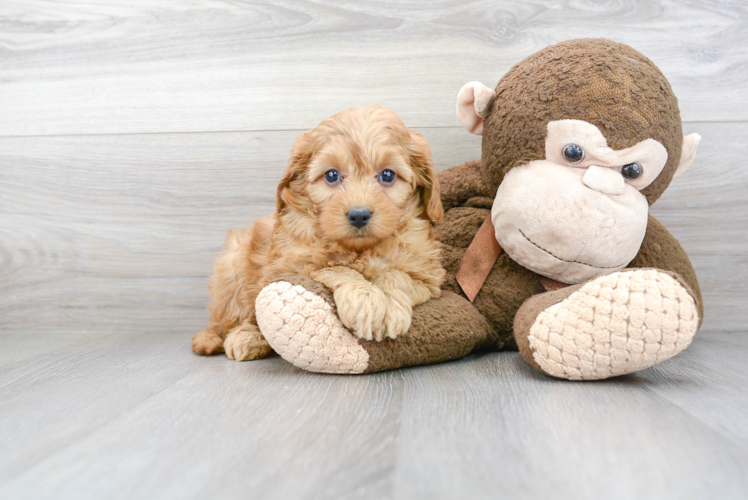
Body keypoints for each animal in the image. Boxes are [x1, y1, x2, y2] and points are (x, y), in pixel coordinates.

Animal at [193, 105, 444, 362]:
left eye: (388, 175)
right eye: (331, 175)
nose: (359, 215)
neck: (357, 249)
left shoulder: (428, 278)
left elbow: (397, 275)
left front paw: (387, 303)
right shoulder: (290, 265)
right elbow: (332, 268)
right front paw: (365, 299)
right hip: (233, 267)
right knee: (233, 320)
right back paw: (239, 338)